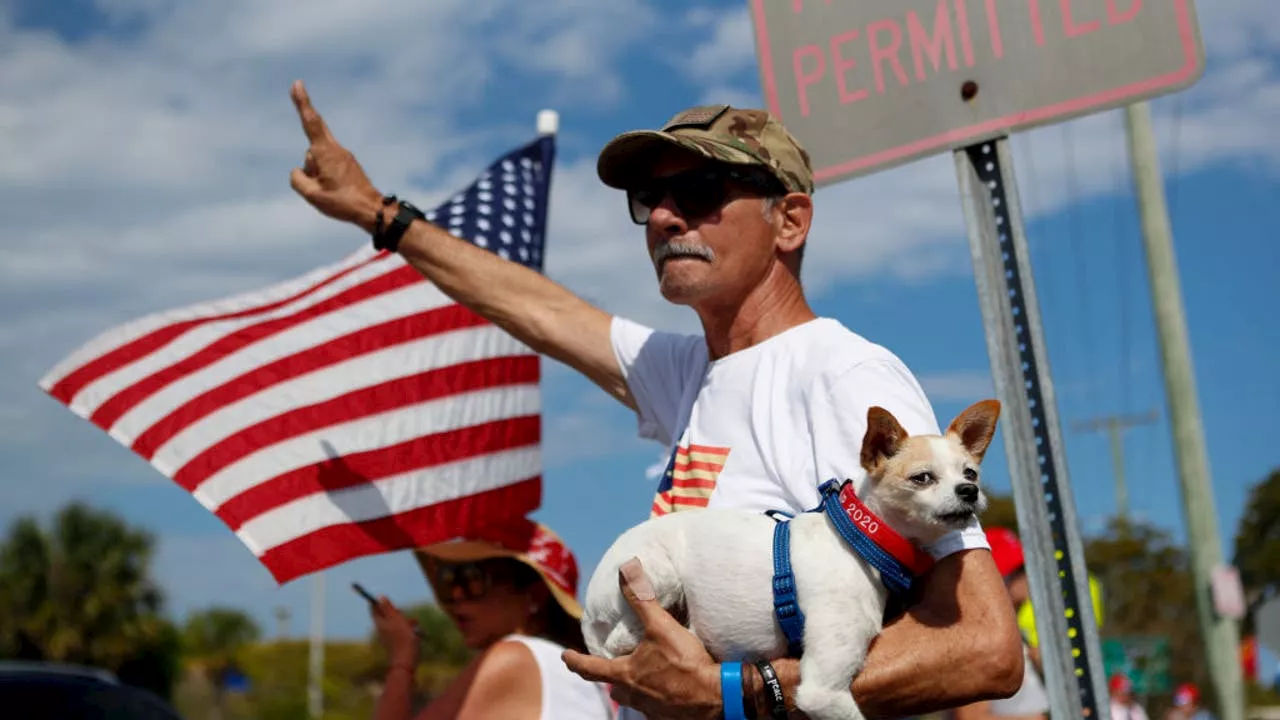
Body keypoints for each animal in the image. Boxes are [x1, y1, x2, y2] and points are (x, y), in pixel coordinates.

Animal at [578, 397, 998, 717]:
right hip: (656, 577)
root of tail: (586, 616)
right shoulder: (823, 691)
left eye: (971, 473)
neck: (862, 539)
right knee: (622, 639)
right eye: (922, 478)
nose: (968, 491)